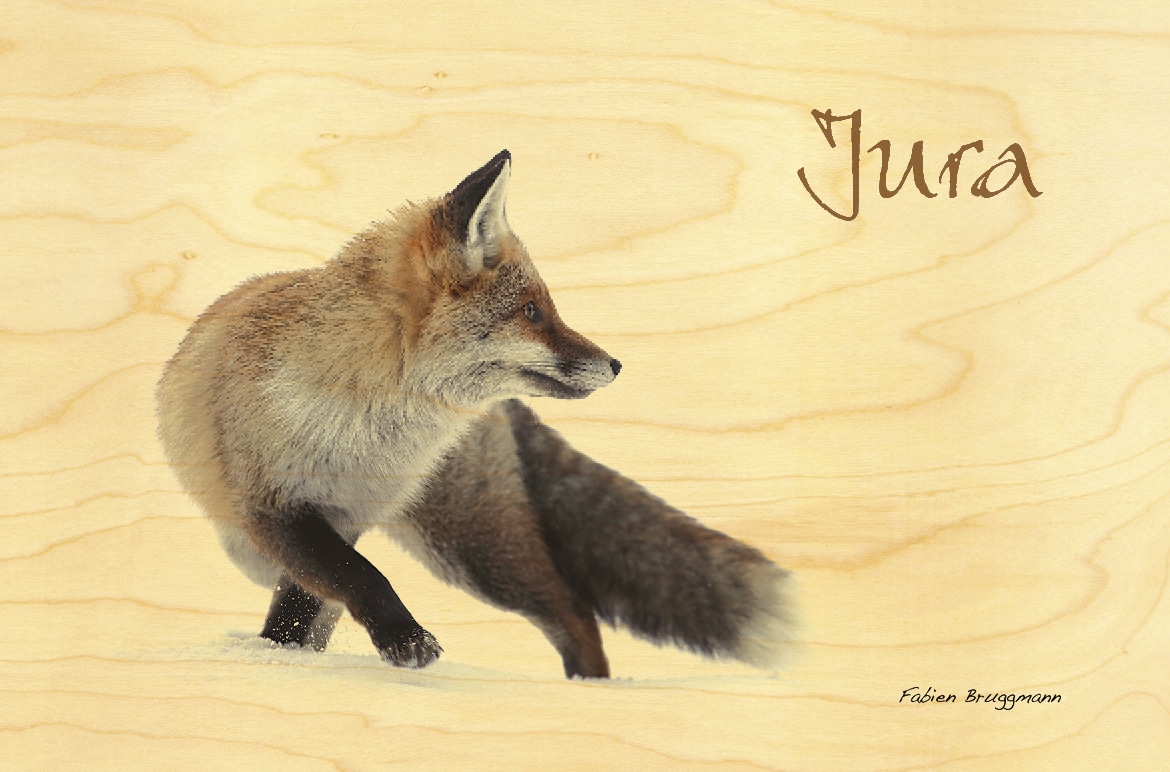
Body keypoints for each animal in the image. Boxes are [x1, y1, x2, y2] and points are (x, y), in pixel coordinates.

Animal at [156, 150, 791, 679]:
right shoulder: (276, 507)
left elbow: (331, 588)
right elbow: (352, 579)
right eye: (531, 311)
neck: (364, 425)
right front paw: (372, 645)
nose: (614, 364)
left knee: (571, 608)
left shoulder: (341, 515)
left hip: (473, 544)